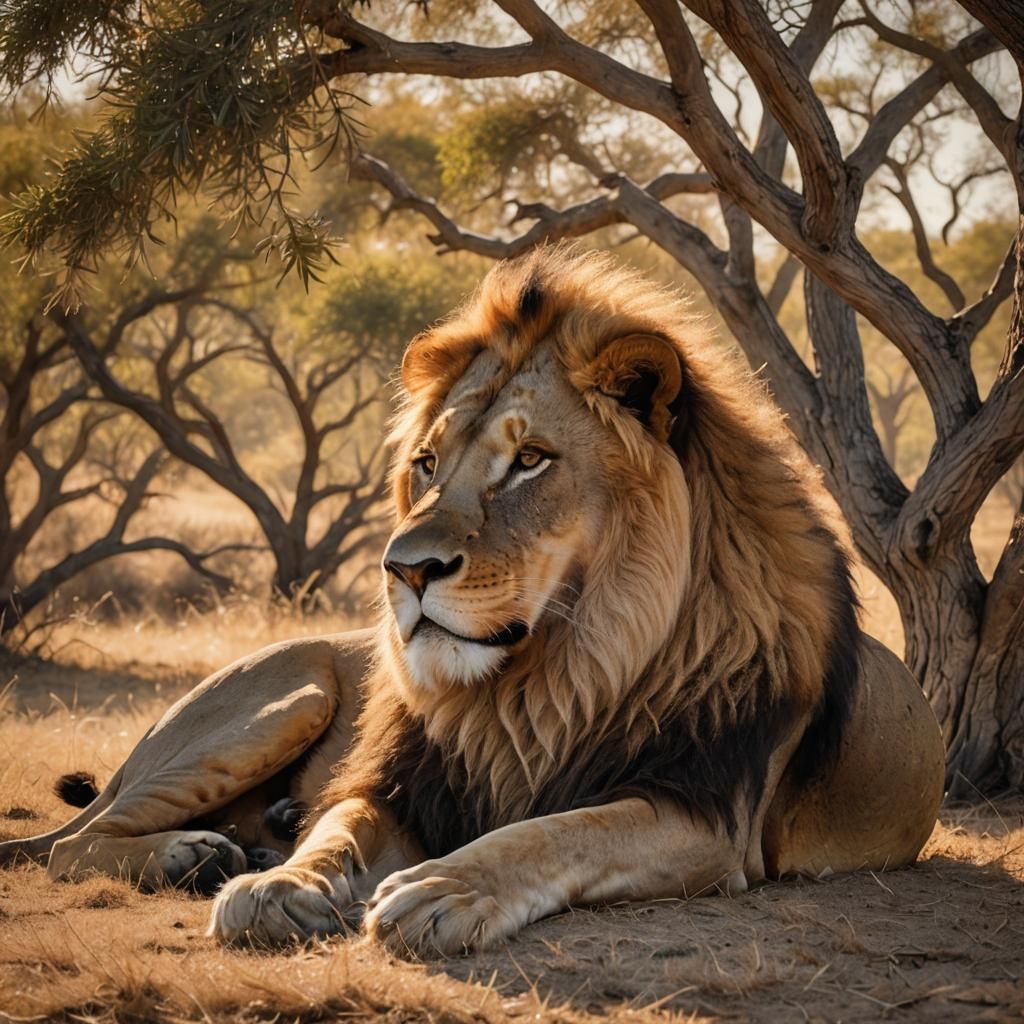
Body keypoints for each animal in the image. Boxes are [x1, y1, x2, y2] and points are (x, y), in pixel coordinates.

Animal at [1, 245, 944, 956]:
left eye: (529, 461)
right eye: (426, 462)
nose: (403, 569)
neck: (557, 671)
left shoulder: (708, 812)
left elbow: (557, 830)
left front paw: (443, 887)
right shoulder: (401, 786)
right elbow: (337, 830)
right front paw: (276, 884)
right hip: (288, 695)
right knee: (67, 845)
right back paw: (197, 856)